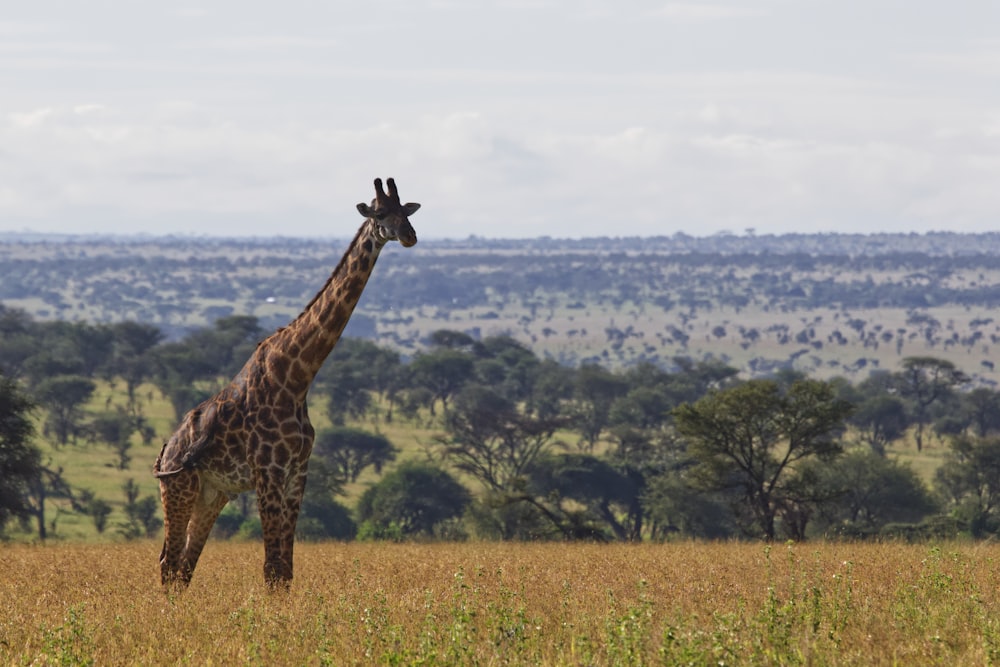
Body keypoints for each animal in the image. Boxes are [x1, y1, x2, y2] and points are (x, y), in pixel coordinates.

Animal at [154, 177, 420, 588]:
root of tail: (167, 449)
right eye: (379, 214)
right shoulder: (268, 472)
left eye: (405, 212)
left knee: (184, 566)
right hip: (177, 488)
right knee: (168, 564)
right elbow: (271, 567)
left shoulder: (298, 473)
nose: (409, 236)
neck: (296, 378)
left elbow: (286, 570)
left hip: (213, 495)